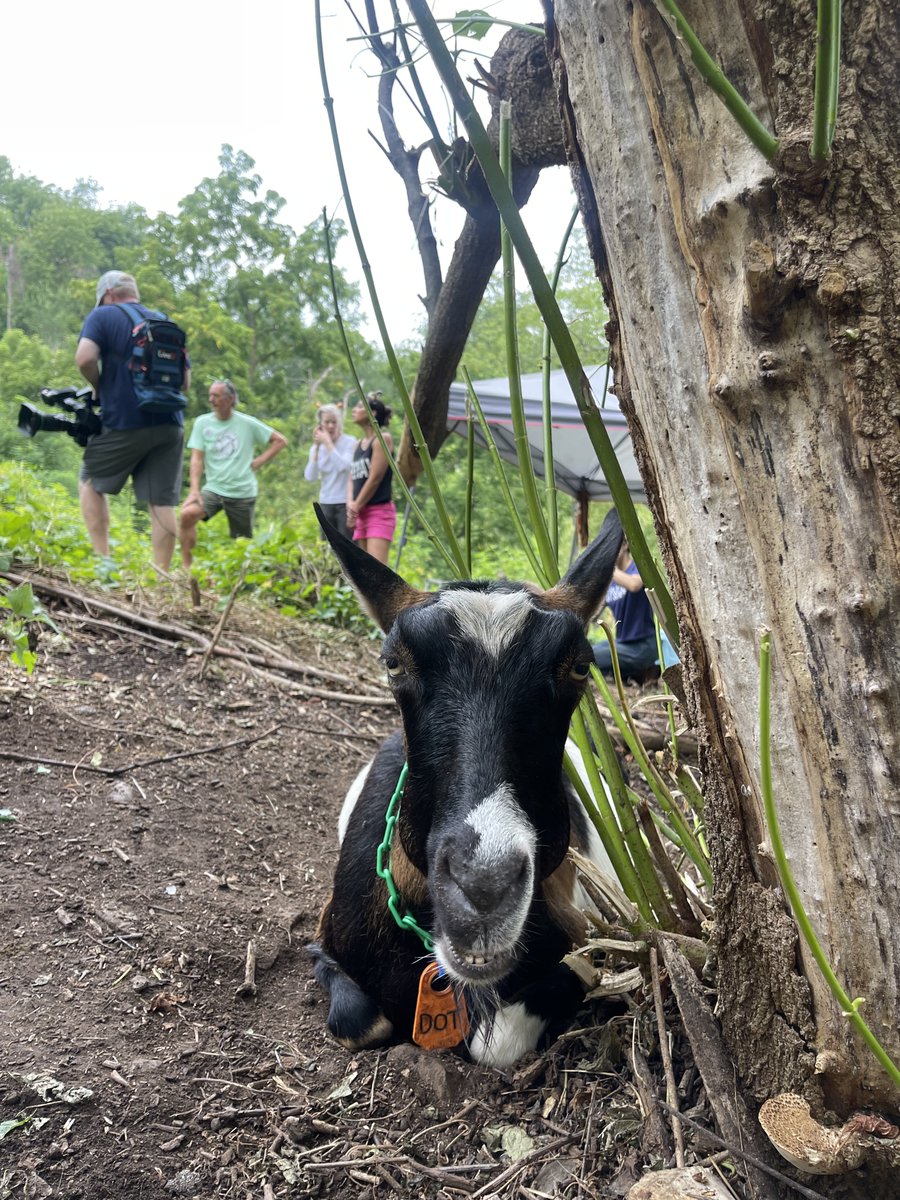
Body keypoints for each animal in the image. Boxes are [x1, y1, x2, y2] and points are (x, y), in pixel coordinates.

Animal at [308, 505, 623, 1067]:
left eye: (581, 666)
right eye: (393, 662)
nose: (483, 887)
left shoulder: (586, 945)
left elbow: (492, 1043)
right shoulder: (324, 936)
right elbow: (360, 1021)